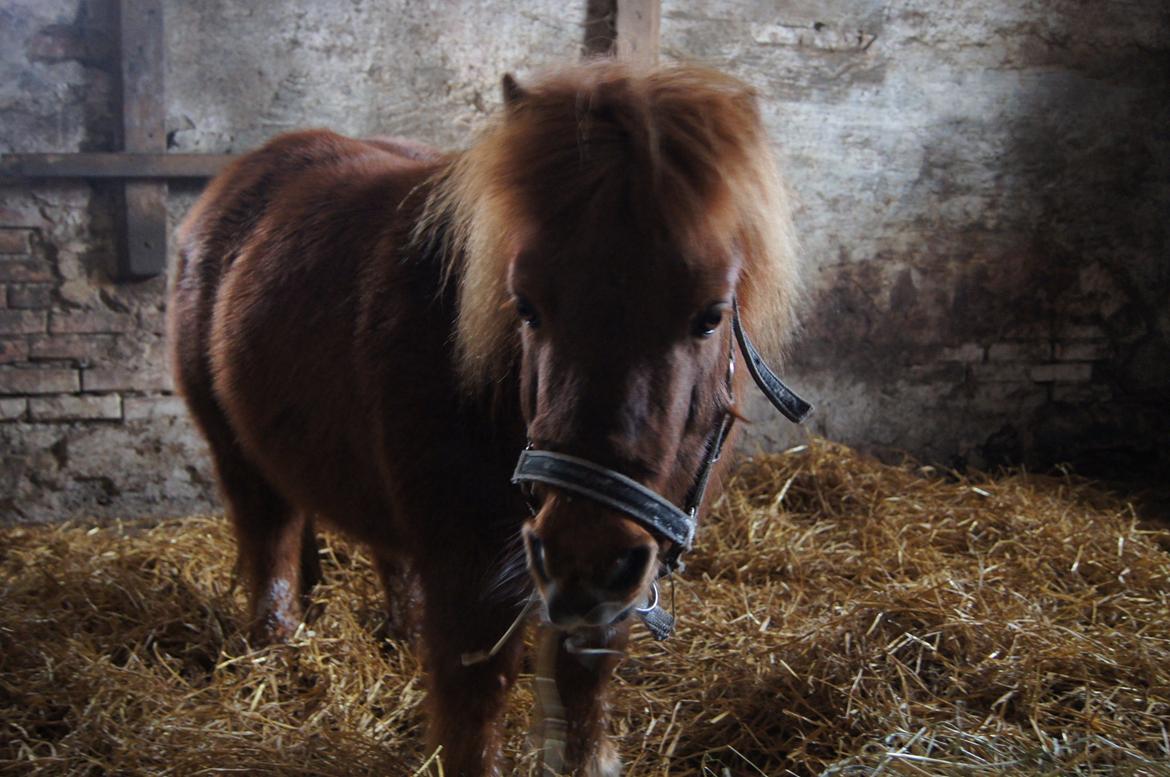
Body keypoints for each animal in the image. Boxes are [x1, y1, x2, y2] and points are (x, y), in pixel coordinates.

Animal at [169, 62, 800, 777]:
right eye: (525, 305)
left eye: (711, 314)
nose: (585, 553)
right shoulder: (472, 581)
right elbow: (474, 712)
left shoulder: (616, 580)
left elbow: (582, 705)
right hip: (239, 457)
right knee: (270, 546)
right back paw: (277, 657)